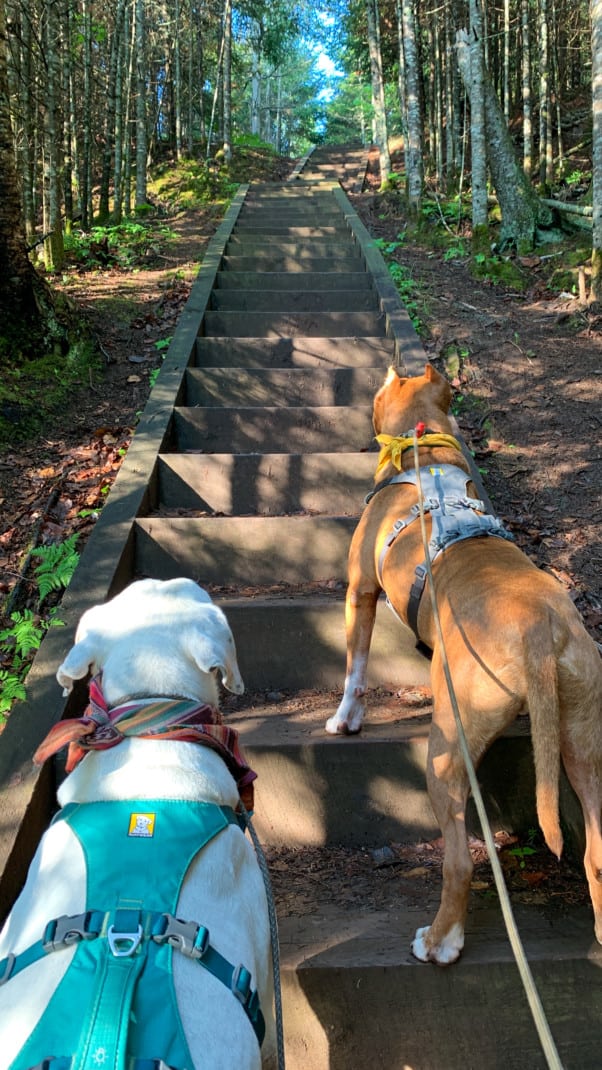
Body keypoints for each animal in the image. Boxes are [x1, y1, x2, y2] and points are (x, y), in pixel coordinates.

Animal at [327, 363, 598, 967]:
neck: (423, 445)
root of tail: (538, 626)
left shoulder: (360, 592)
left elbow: (355, 666)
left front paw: (345, 719)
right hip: (582, 741)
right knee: (596, 850)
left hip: (447, 750)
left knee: (459, 860)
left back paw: (440, 940)